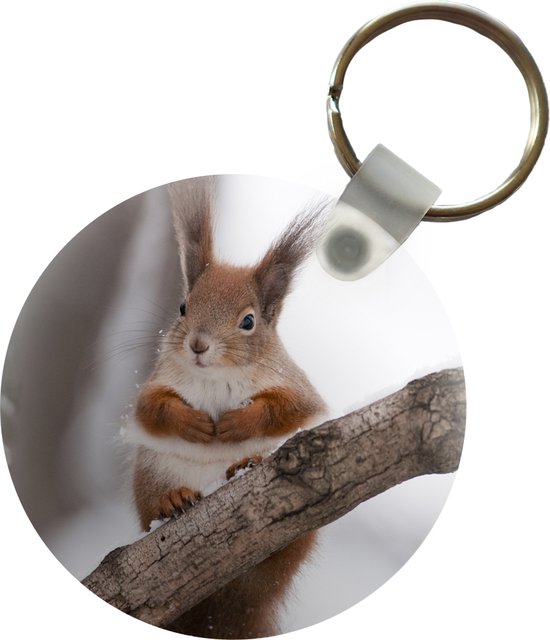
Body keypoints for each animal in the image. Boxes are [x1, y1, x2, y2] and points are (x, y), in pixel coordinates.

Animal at [127, 176, 328, 638]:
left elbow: (288, 408)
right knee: (150, 513)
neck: (216, 376)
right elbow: (152, 408)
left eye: (248, 321)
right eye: (184, 306)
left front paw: (238, 423)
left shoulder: (297, 389)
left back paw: (244, 467)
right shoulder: (156, 383)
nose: (198, 345)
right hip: (153, 472)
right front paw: (194, 423)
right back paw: (173, 500)